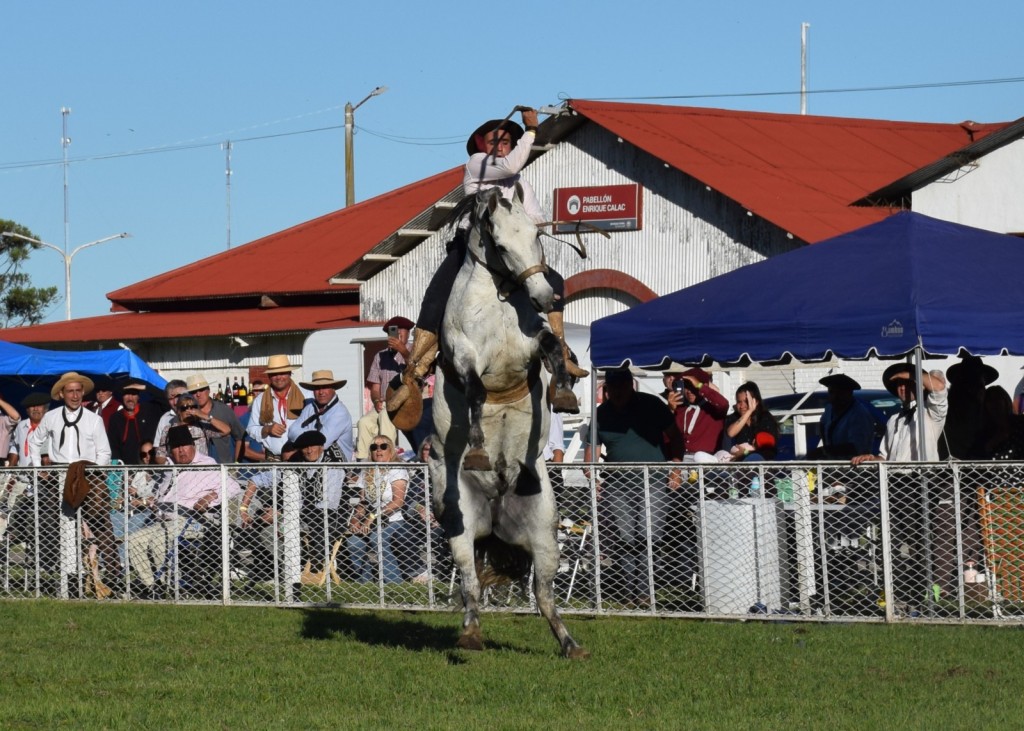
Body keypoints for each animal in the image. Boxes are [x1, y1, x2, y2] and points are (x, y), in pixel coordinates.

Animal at [428, 185, 589, 659]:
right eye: (499, 244)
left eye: (536, 235)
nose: (545, 297)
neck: (497, 299)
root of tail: (496, 508)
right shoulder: (465, 358)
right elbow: (477, 393)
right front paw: (480, 450)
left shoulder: (531, 346)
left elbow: (552, 346)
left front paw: (564, 393)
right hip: (461, 528)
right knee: (469, 584)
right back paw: (470, 635)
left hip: (545, 535)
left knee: (543, 594)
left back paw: (570, 644)